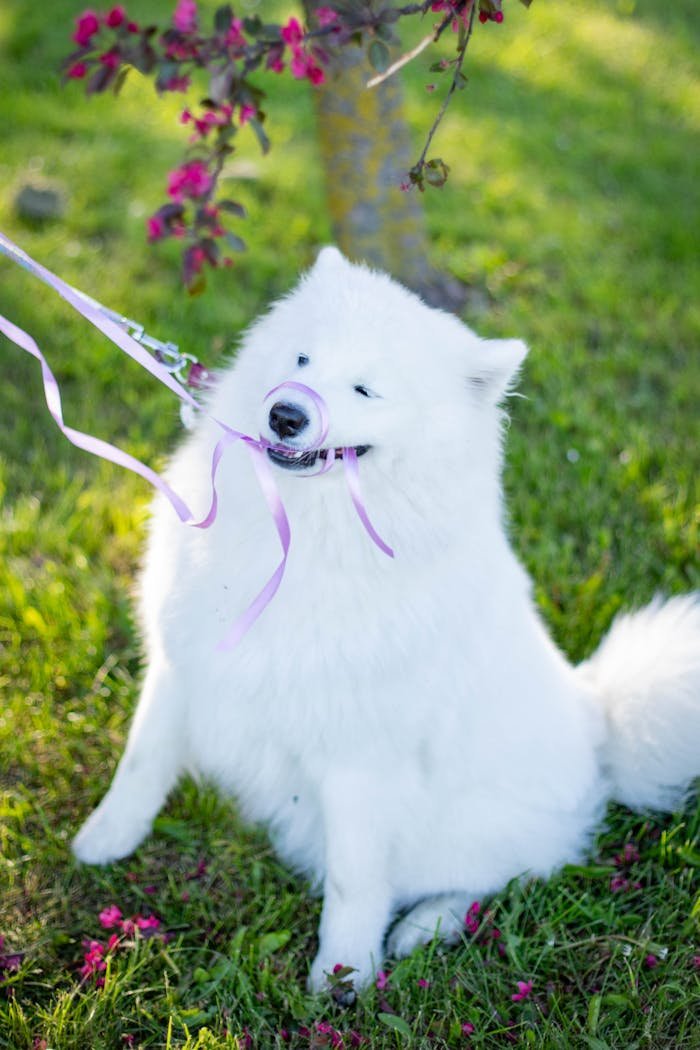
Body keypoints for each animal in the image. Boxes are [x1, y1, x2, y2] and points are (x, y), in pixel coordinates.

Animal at [72, 249, 700, 986]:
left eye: (365, 390)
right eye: (303, 358)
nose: (286, 413)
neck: (303, 530)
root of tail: (602, 726)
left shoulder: (360, 757)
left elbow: (354, 878)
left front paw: (342, 974)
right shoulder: (183, 664)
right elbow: (141, 765)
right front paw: (105, 840)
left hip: (466, 831)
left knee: (507, 875)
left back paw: (426, 927)